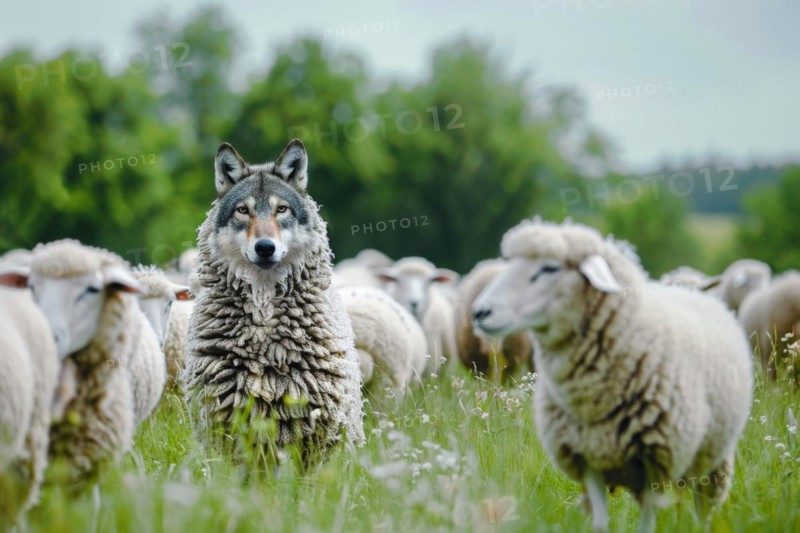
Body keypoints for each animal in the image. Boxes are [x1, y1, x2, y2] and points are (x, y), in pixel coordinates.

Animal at [473, 219, 753, 532]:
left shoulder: (654, 459)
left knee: (703, 505)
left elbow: (647, 524)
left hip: (714, 456)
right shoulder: (586, 457)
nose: (480, 312)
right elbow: (600, 522)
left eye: (550, 268)